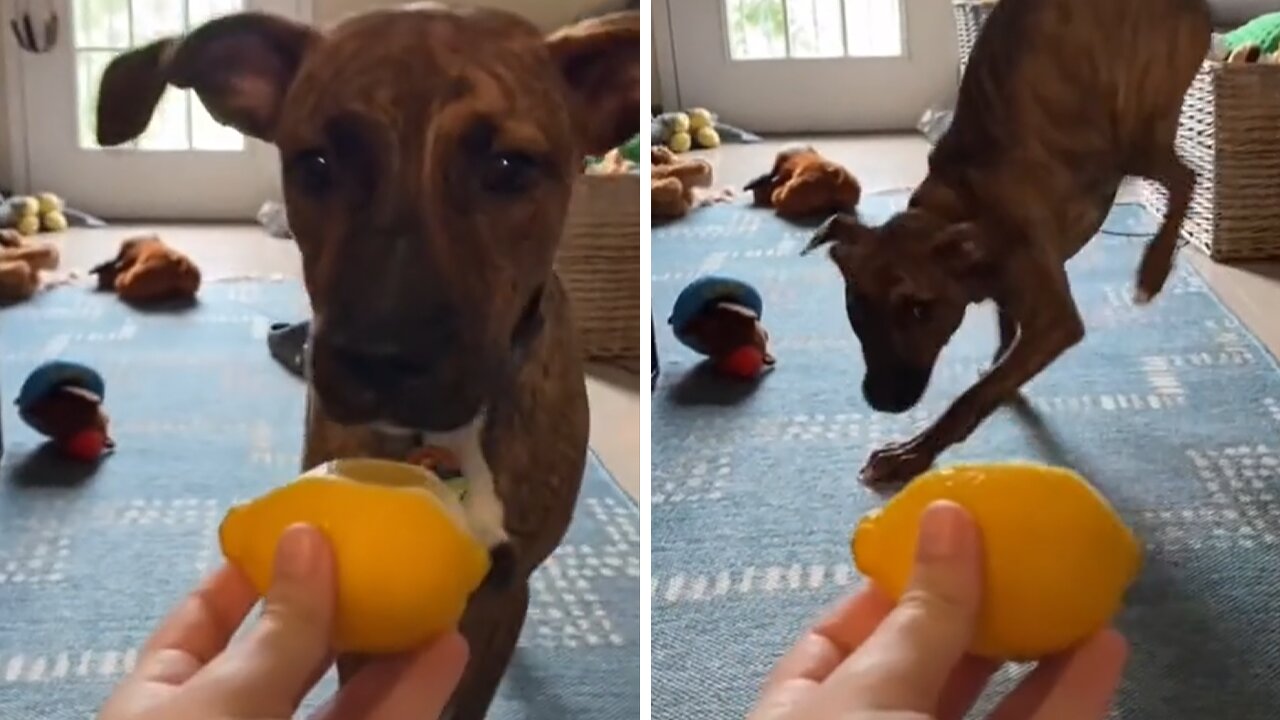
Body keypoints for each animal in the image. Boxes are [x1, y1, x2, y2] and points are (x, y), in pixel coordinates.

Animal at [798, 0, 1208, 486]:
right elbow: (1003, 339)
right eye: (856, 308)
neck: (958, 206)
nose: (879, 399)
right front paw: (1000, 364)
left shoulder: (1055, 321)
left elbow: (970, 398)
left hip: (1134, 133)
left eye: (919, 309)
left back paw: (1154, 270)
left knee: (1186, 178)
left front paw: (909, 454)